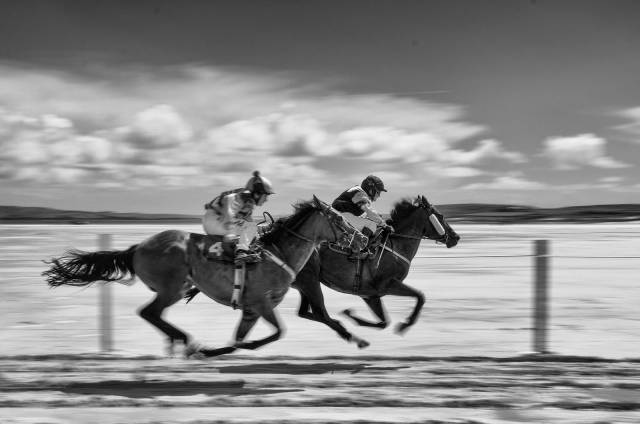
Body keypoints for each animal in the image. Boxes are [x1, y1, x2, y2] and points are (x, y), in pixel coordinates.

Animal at [43, 197, 364, 356]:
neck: (279, 252)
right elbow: (276, 333)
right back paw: (185, 340)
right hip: (171, 287)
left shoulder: (252, 309)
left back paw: (181, 342)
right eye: (338, 218)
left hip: (176, 287)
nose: (360, 238)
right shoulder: (261, 303)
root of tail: (137, 248)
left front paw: (219, 350)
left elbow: (240, 337)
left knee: (153, 315)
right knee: (149, 313)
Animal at [292, 195, 458, 348]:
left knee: (305, 313)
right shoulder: (388, 284)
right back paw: (352, 336)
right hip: (310, 281)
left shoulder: (370, 294)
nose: (456, 237)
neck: (395, 246)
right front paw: (405, 325)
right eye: (441, 216)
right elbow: (420, 296)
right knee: (319, 313)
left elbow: (383, 322)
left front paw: (350, 315)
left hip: (305, 284)